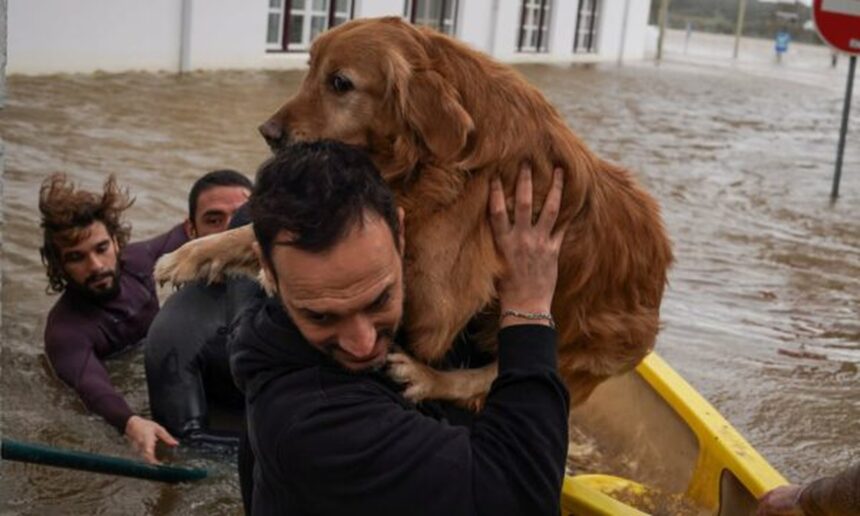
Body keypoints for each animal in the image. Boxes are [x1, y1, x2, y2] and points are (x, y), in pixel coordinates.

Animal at [155, 17, 673, 407]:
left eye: (340, 83)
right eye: (309, 69)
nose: (268, 132)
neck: (433, 157)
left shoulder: (440, 299)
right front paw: (195, 254)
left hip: (577, 352)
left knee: (486, 378)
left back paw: (425, 377)